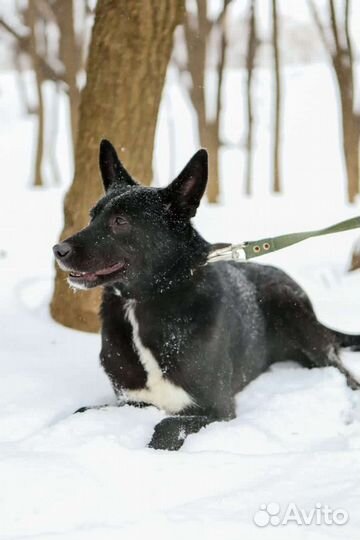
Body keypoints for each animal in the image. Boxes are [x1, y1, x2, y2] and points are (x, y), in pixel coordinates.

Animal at [53, 140, 360, 452]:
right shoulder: (130, 400)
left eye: (120, 221)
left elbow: (168, 425)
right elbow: (82, 411)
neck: (144, 302)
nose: (58, 250)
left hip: (296, 317)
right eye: (92, 216)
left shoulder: (217, 408)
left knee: (344, 375)